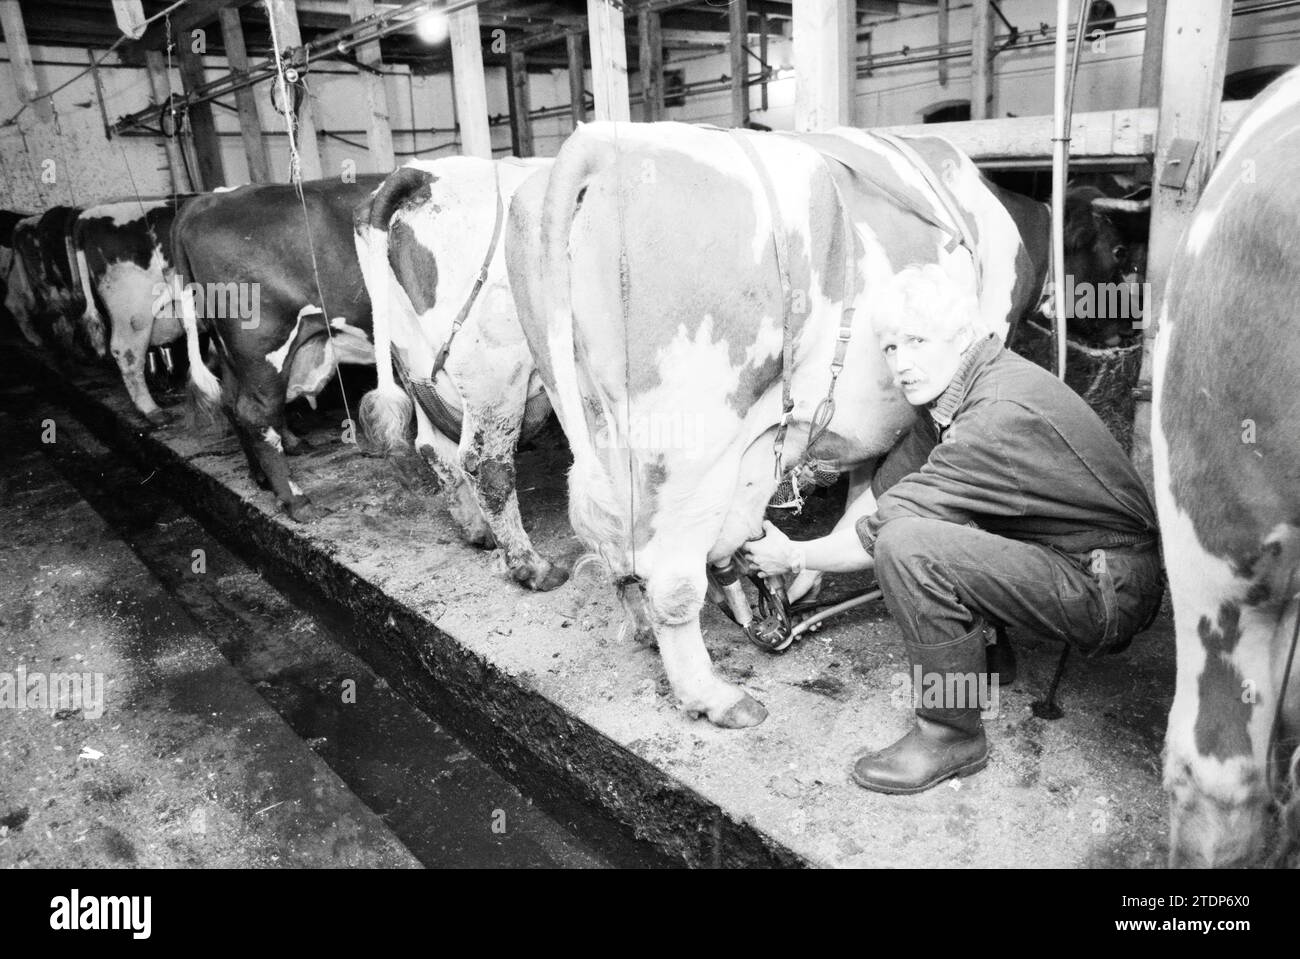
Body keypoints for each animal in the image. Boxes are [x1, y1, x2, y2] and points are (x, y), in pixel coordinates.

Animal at [175, 171, 384, 514]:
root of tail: (209, 199)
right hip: (263, 344)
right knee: (255, 413)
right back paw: (296, 500)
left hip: (232, 353)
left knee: (231, 402)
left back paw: (262, 477)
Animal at [353, 155, 566, 587]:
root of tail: (420, 174)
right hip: (496, 375)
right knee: (486, 465)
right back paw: (531, 566)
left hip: (418, 372)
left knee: (434, 449)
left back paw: (478, 531)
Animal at [506, 125, 1034, 722]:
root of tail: (601, 143)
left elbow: (864, 491)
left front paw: (795, 583)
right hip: (687, 443)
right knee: (670, 573)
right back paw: (716, 697)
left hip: (589, 417)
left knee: (618, 545)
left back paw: (649, 630)